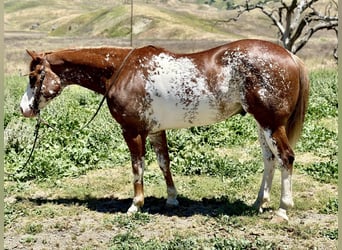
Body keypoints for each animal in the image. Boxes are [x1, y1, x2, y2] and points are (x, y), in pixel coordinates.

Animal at [21, 39, 310, 221]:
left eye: (34, 77)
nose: (24, 108)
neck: (121, 71)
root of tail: (290, 56)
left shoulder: (132, 131)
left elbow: (137, 166)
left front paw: (136, 205)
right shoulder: (155, 130)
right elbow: (164, 163)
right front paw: (172, 199)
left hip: (272, 123)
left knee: (285, 158)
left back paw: (282, 210)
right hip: (263, 124)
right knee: (269, 159)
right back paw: (259, 203)